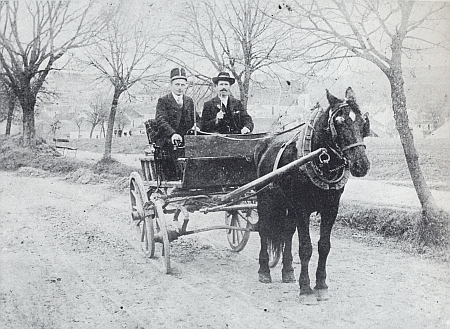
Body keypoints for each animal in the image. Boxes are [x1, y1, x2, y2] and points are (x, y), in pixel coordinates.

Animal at [255, 87, 370, 302]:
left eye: (362, 122)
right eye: (339, 122)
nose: (362, 165)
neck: (319, 158)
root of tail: (265, 141)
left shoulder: (331, 209)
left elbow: (324, 246)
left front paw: (321, 285)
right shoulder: (302, 209)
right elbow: (306, 247)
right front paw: (306, 289)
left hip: (288, 204)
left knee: (287, 232)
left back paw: (288, 271)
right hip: (265, 200)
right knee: (263, 229)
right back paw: (264, 270)